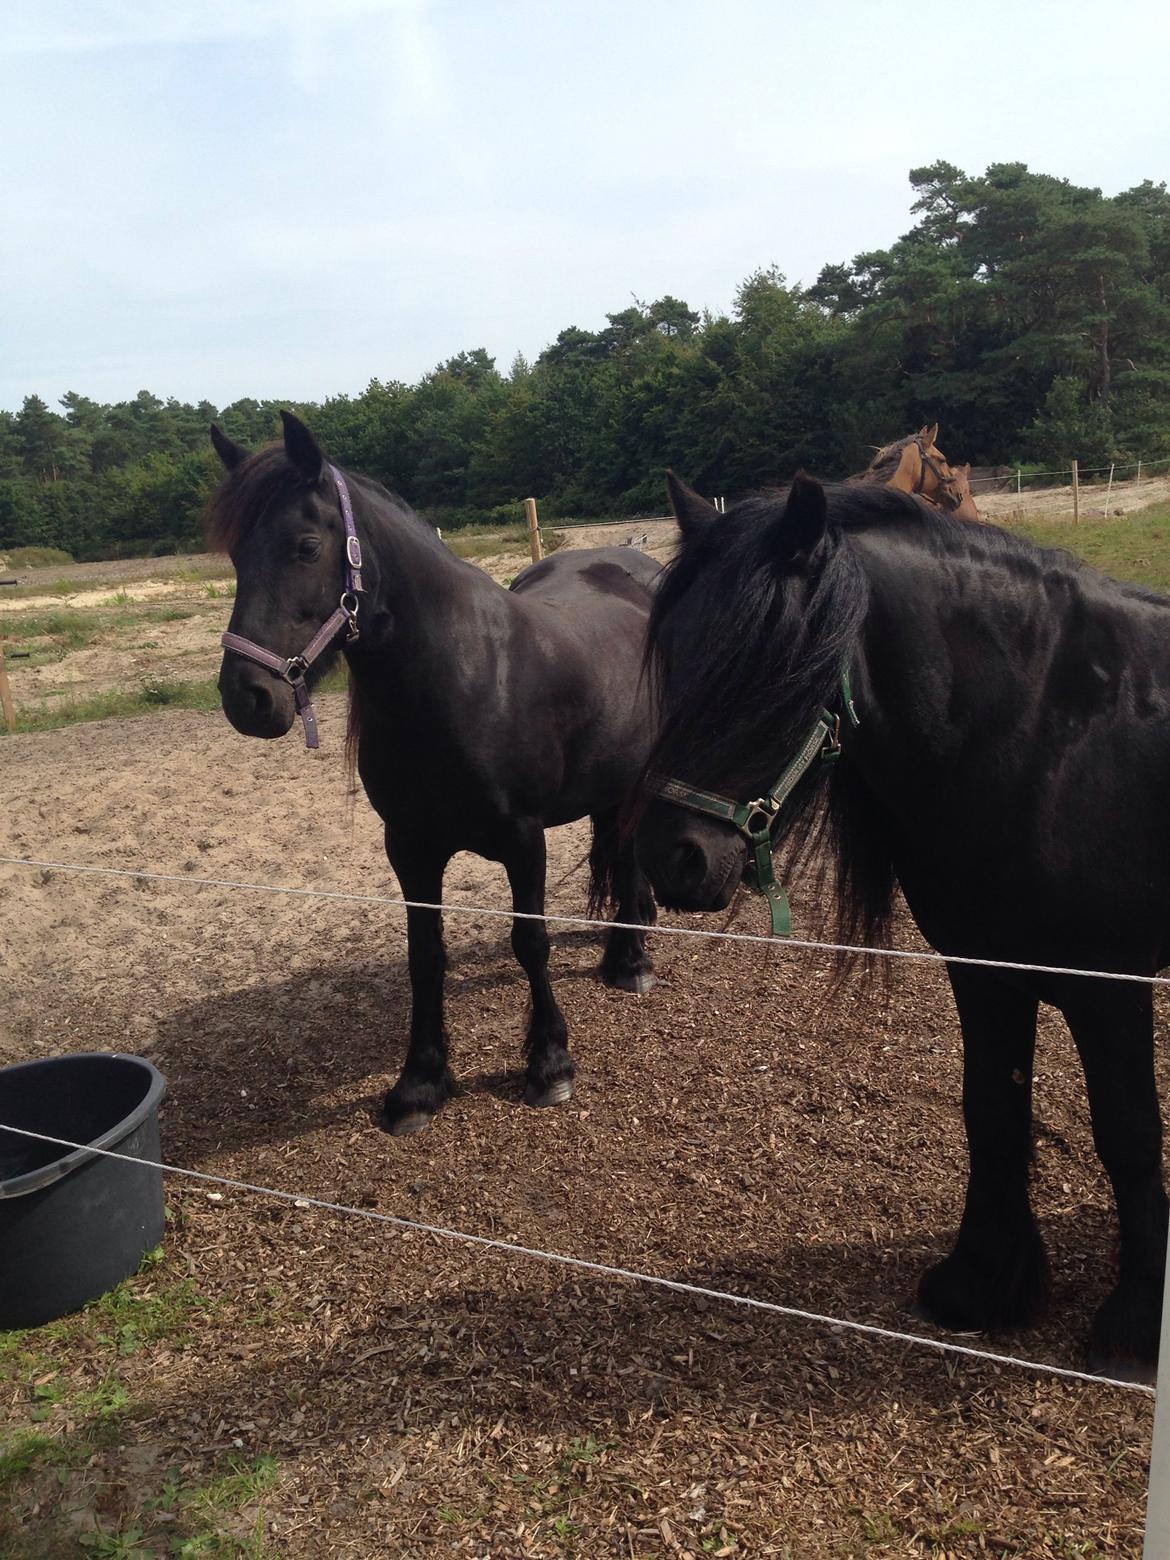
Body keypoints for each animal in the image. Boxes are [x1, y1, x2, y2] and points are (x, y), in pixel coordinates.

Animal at [207, 411, 660, 1135]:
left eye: (305, 546)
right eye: (236, 558)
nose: (247, 697)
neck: (462, 675)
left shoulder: (523, 839)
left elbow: (529, 942)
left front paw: (549, 1063)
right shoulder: (410, 847)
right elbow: (425, 957)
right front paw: (419, 1082)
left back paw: (635, 959)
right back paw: (623, 949)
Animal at [632, 470, 1169, 1380]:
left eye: (781, 665)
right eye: (673, 654)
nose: (677, 861)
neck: (1048, 737)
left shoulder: (1112, 989)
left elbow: (1128, 1134)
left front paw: (1135, 1328)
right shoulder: (985, 973)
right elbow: (991, 1108)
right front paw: (982, 1284)